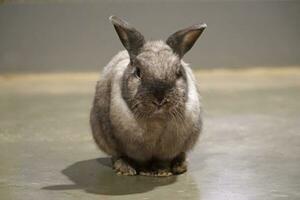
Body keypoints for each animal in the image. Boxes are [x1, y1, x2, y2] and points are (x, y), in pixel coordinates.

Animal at [89, 15, 206, 176]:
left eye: (178, 72)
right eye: (138, 72)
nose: (159, 99)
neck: (157, 119)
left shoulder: (166, 152)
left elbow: (162, 161)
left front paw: (161, 172)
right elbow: (130, 158)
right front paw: (143, 171)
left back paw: (180, 166)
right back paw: (125, 168)